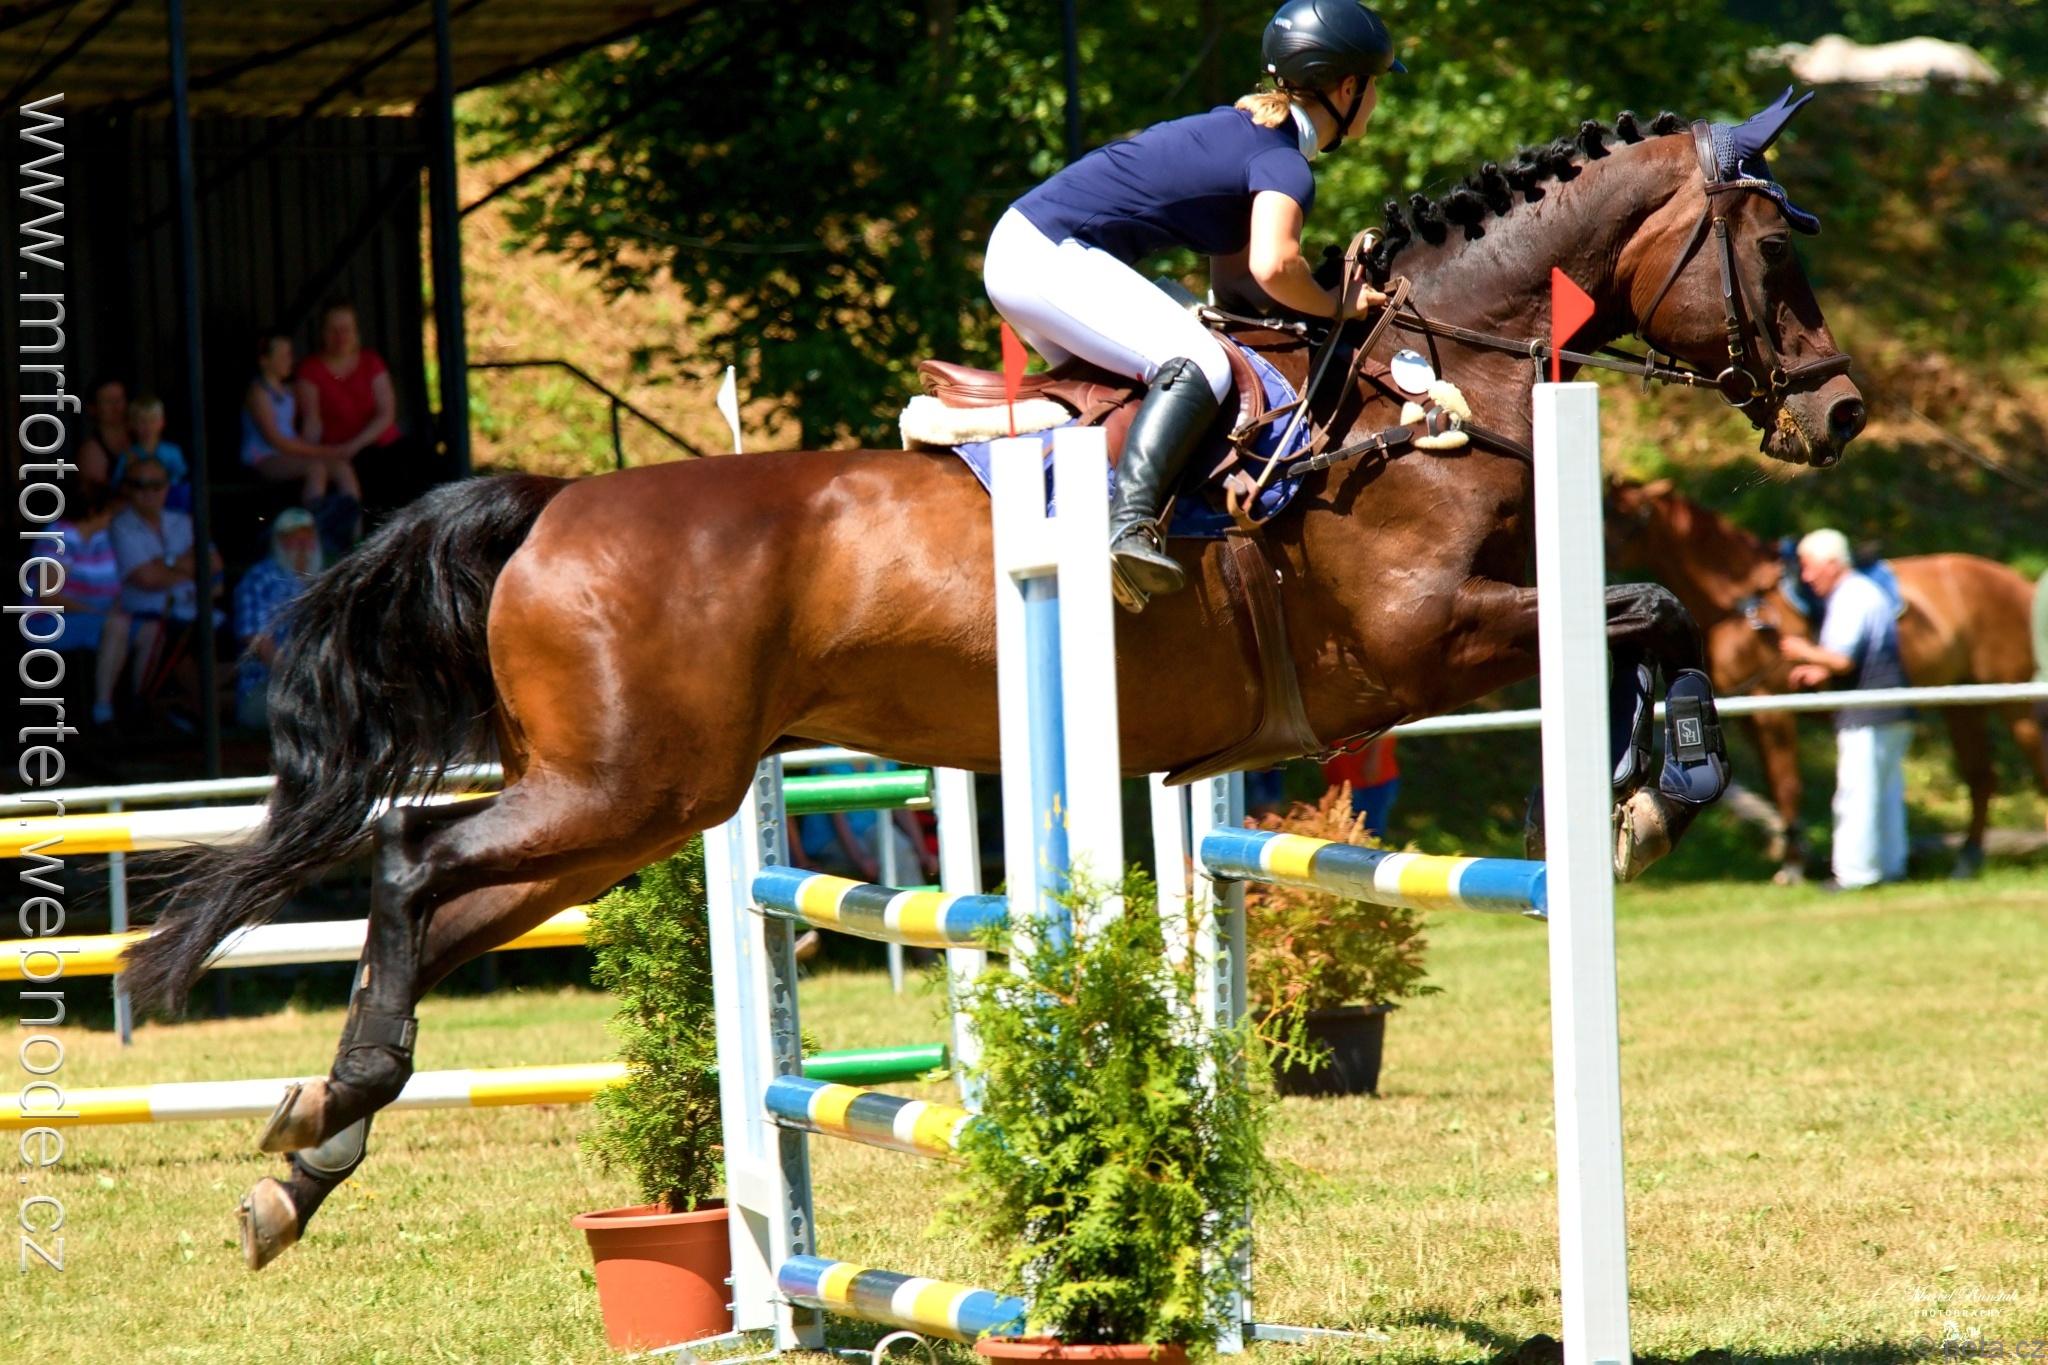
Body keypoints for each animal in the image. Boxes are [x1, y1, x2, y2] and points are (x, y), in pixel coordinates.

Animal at [122, 105, 1863, 1270]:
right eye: (1774, 249)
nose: (1839, 413)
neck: (1428, 386)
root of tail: (553, 500)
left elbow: (1644, 621)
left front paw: (1651, 789)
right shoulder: (1416, 643)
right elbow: (1651, 610)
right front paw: (1663, 794)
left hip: (646, 805)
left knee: (436, 903)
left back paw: (305, 1156)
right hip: (619, 783)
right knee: (410, 866)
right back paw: (327, 1116)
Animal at [1606, 477, 2048, 881]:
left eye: (1628, 517)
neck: (1739, 598)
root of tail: (2019, 582)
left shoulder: (1773, 709)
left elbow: (1787, 786)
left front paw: (1793, 867)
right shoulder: (1752, 717)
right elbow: (1777, 786)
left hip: (2010, 702)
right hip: (1962, 704)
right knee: (1981, 776)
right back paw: (1967, 859)